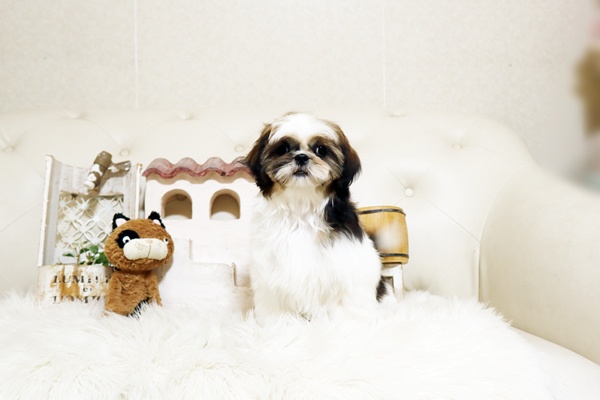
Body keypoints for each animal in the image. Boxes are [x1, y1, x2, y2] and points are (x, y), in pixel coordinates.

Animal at [244, 112, 390, 320]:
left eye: (321, 150)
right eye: (283, 148)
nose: (301, 157)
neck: (302, 205)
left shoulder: (348, 263)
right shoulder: (271, 270)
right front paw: (280, 323)